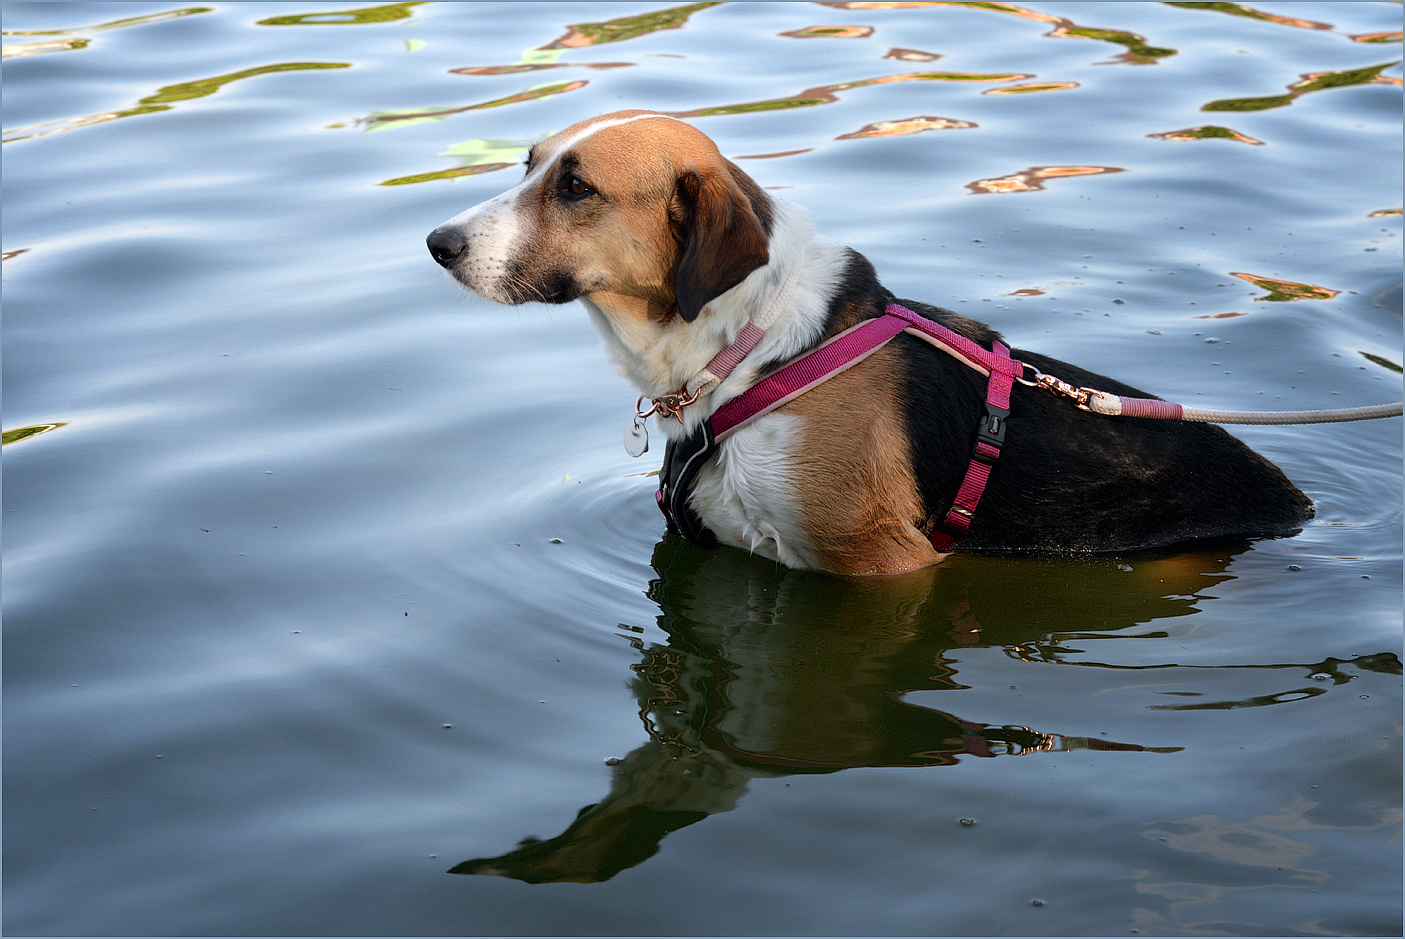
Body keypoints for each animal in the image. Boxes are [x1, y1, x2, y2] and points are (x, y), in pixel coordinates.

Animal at [429, 112, 1315, 576]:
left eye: (576, 187)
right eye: (527, 165)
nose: (437, 243)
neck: (753, 353)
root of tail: (1302, 504)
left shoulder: (885, 565)